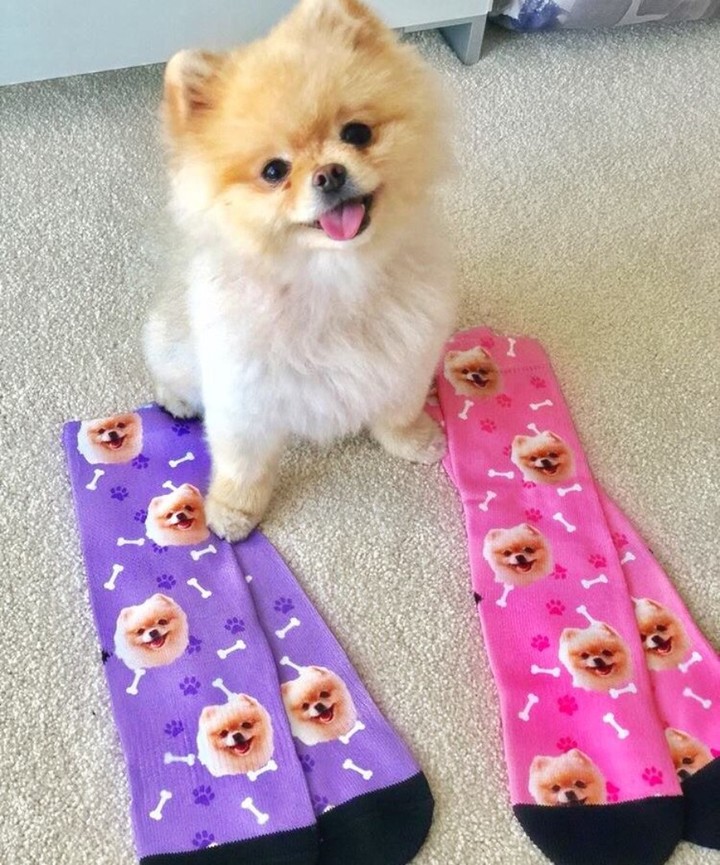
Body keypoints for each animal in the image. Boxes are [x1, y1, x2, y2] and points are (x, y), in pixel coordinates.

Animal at [143, 0, 456, 541]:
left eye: (356, 133)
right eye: (274, 171)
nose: (329, 174)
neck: (333, 278)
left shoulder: (406, 352)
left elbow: (399, 408)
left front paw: (413, 440)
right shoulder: (242, 392)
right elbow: (243, 463)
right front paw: (233, 510)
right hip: (173, 343)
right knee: (168, 371)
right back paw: (176, 400)